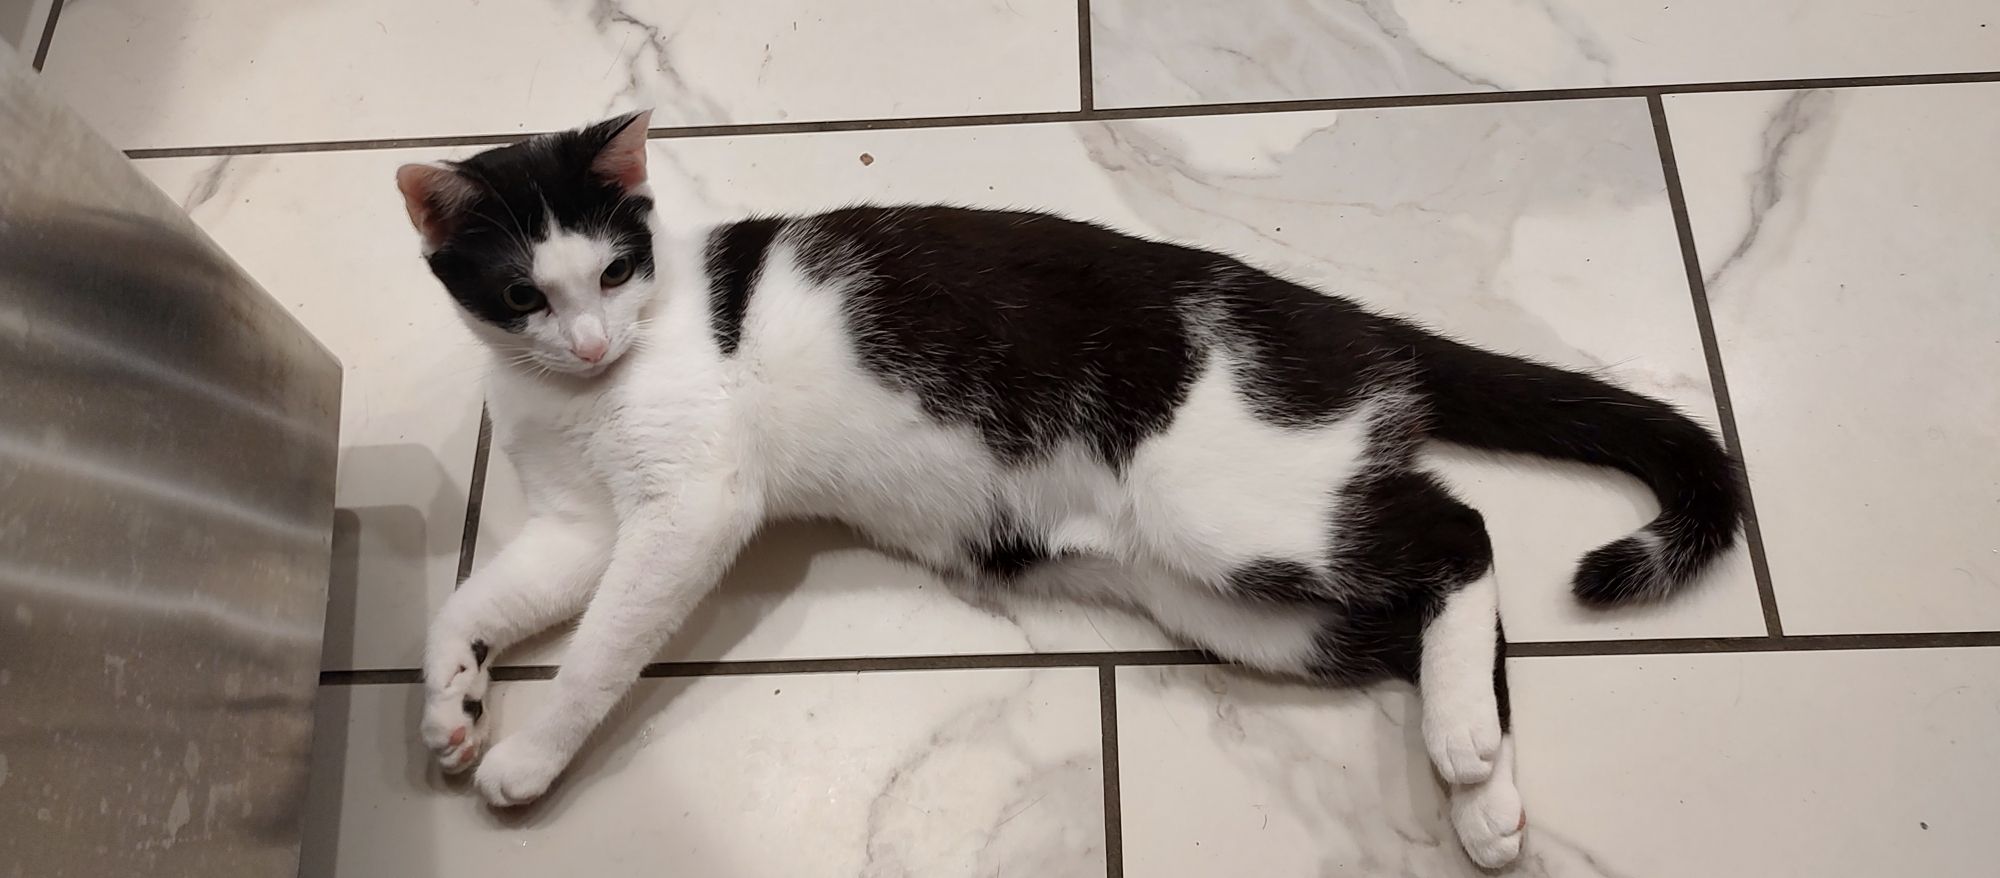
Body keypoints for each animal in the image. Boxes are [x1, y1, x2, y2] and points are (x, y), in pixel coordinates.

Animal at [398, 108, 1744, 868]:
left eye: (614, 270)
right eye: (522, 293)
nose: (589, 344)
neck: (580, 396)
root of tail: (1345, 321)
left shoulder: (691, 504)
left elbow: (602, 646)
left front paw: (527, 754)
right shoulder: (580, 522)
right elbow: (475, 599)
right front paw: (453, 701)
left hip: (1233, 505)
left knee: (1457, 528)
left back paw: (1462, 738)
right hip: (1237, 609)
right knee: (1404, 602)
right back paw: (1480, 794)